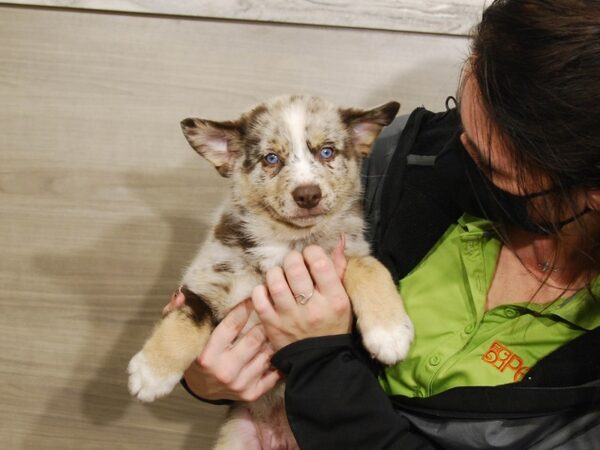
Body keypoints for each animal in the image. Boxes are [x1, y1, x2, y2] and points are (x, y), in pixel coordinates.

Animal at [127, 96, 412, 450]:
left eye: (327, 152)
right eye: (271, 158)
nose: (308, 195)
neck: (290, 243)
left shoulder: (348, 251)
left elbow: (371, 267)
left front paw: (390, 334)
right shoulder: (207, 277)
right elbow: (186, 320)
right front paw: (150, 374)